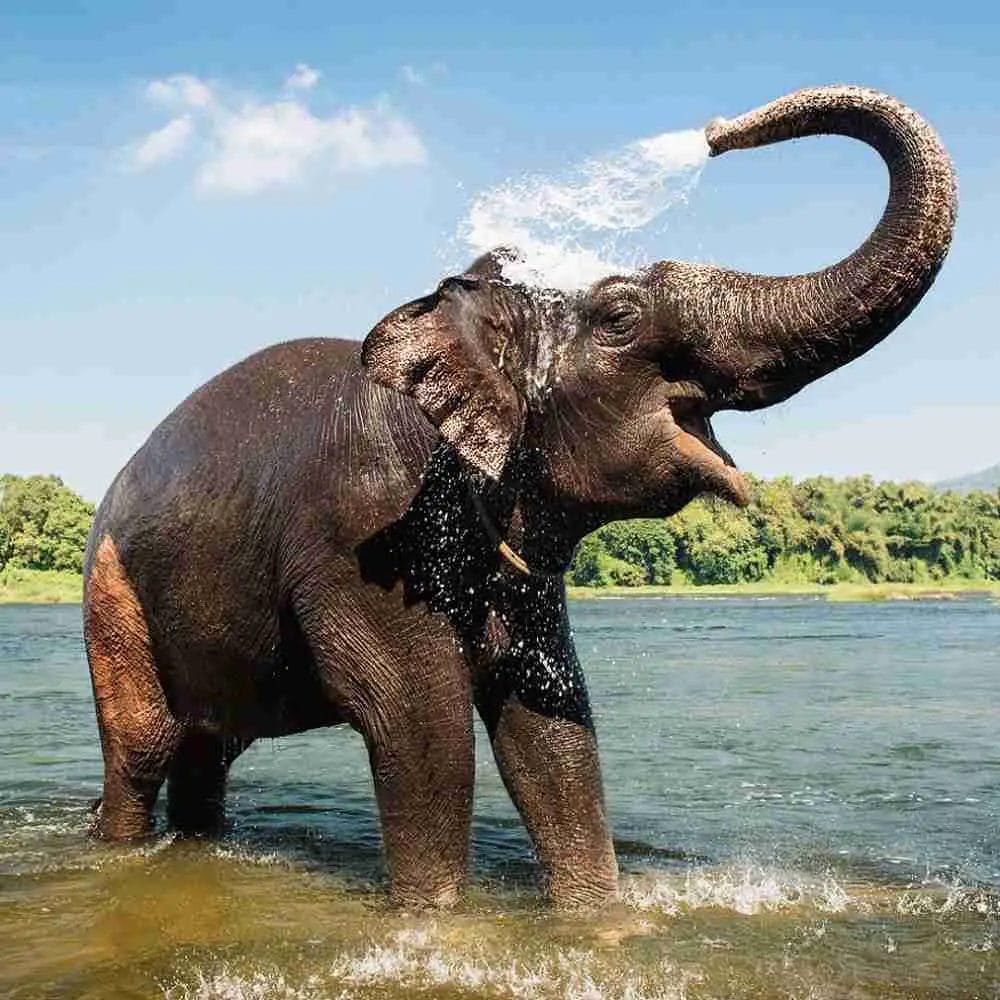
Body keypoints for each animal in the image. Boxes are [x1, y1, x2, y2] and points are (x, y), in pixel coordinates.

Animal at [83, 85, 956, 908]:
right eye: (619, 316)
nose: (715, 131)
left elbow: (549, 726)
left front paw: (597, 916)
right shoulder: (364, 531)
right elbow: (421, 726)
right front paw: (435, 920)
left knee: (209, 750)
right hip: (110, 593)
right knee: (145, 749)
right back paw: (118, 846)